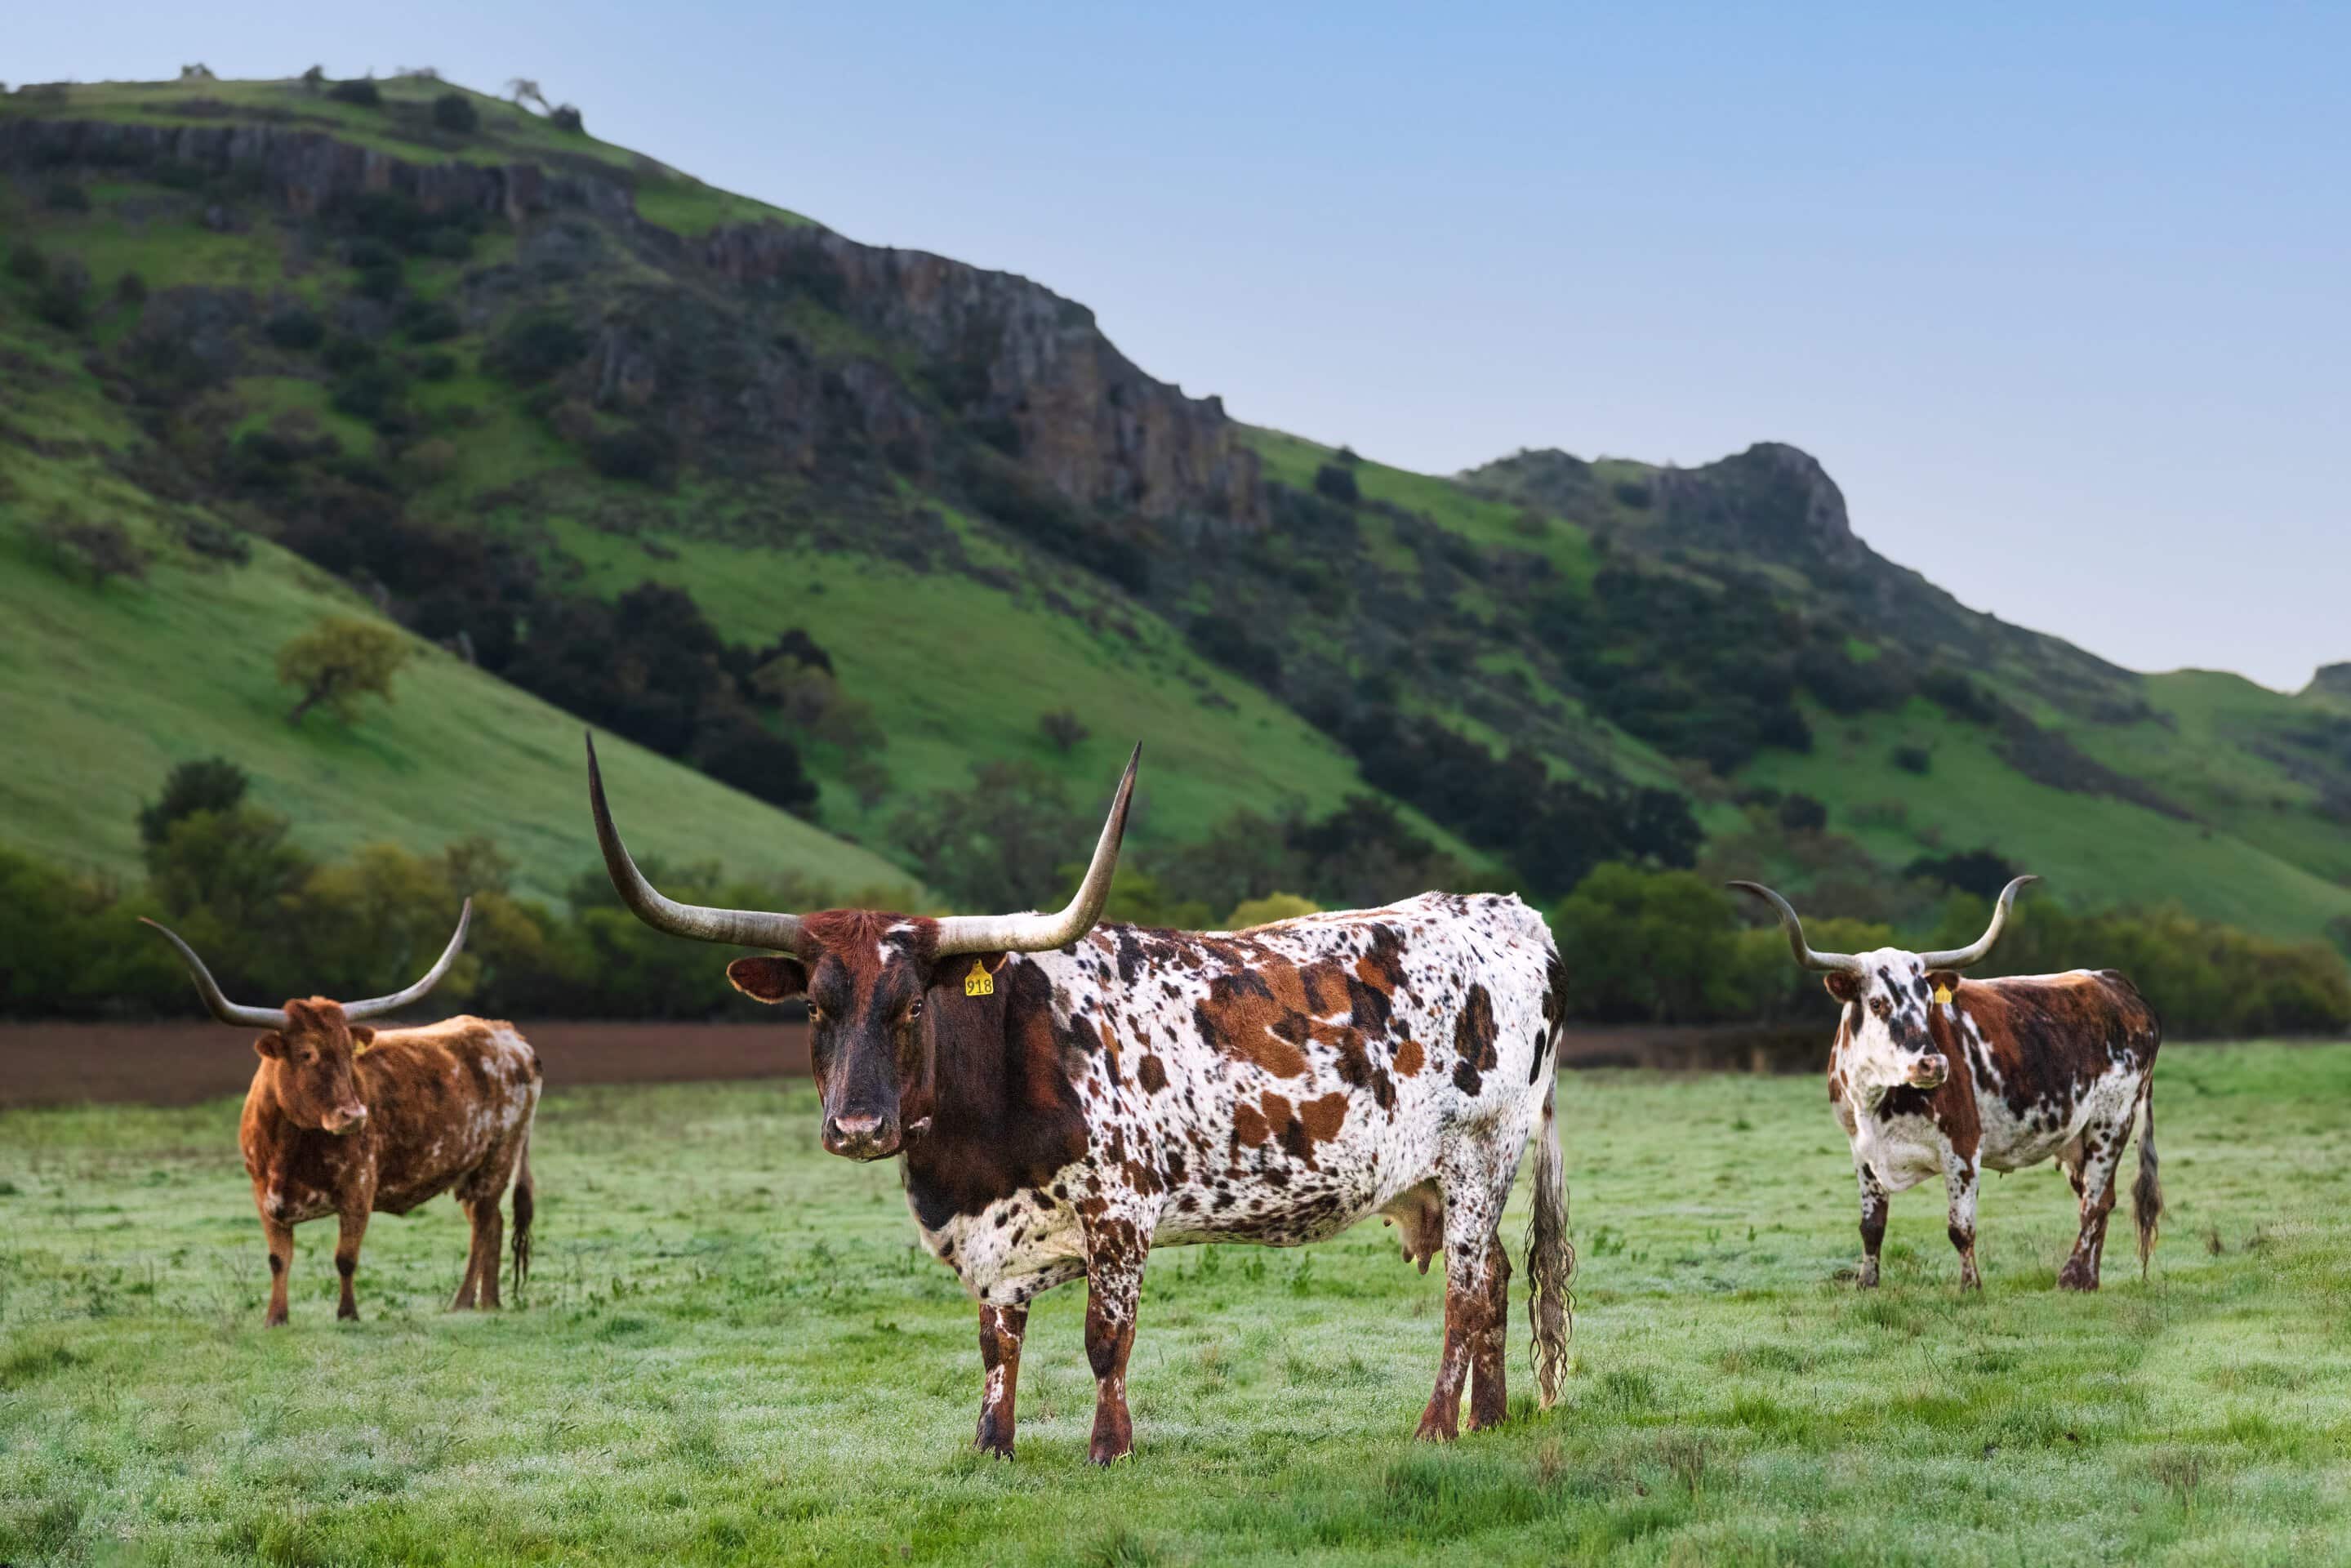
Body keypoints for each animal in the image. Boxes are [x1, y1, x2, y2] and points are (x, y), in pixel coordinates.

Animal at [587, 737, 1579, 1457]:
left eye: (912, 1005)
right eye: (814, 1008)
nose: (858, 1127)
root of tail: (1505, 910)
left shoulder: (1121, 1215)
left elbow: (1106, 1338)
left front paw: (1110, 1448)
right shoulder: (993, 1234)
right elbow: (998, 1345)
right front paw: (991, 1448)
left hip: (1481, 1153)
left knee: (1465, 1291)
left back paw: (1433, 1429)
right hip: (1447, 1177)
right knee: (1496, 1277)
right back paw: (1488, 1420)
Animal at [1739, 879, 2153, 1297]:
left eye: (1927, 1002)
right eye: (1877, 1003)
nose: (1933, 1064)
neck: (1875, 1100)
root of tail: (2112, 980)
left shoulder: (1963, 1146)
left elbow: (1961, 1228)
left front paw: (1970, 1288)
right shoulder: (1861, 1152)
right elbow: (1872, 1227)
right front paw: (1866, 1283)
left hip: (2111, 1122)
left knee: (2094, 1202)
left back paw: (2070, 1278)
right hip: (2077, 1139)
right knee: (2100, 1198)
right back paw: (2088, 1280)